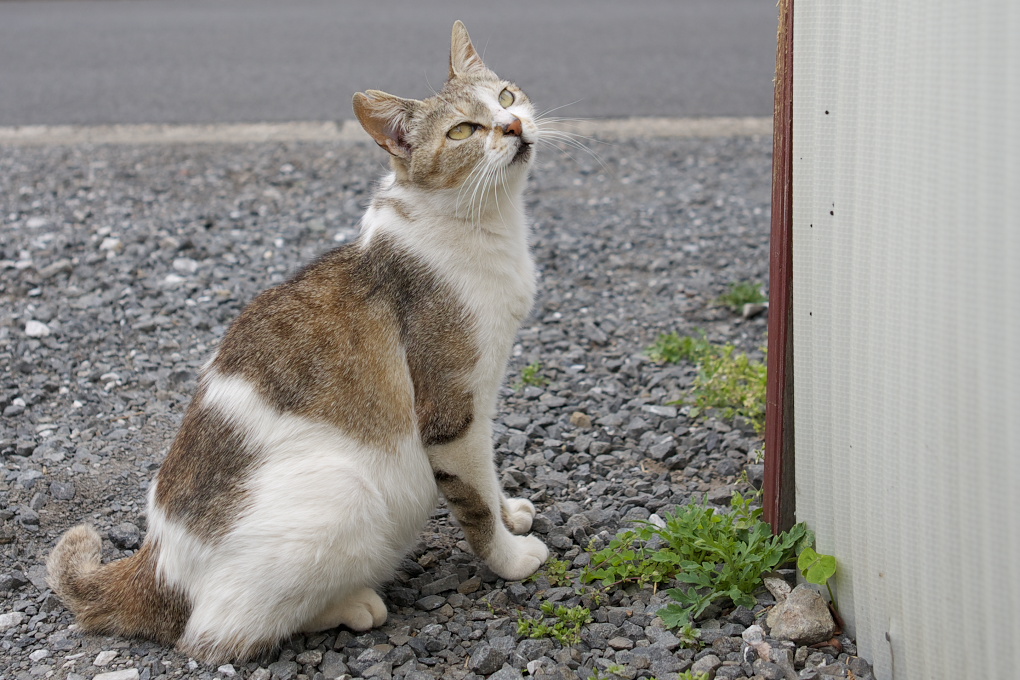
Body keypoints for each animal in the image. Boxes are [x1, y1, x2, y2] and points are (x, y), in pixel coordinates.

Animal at [45, 22, 550, 664]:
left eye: (505, 97)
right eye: (463, 130)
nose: (512, 126)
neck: (484, 225)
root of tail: (155, 566)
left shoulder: (480, 410)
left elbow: (489, 476)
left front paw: (512, 512)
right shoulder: (451, 411)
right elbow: (474, 502)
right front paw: (509, 557)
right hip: (344, 493)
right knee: (213, 634)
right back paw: (351, 605)